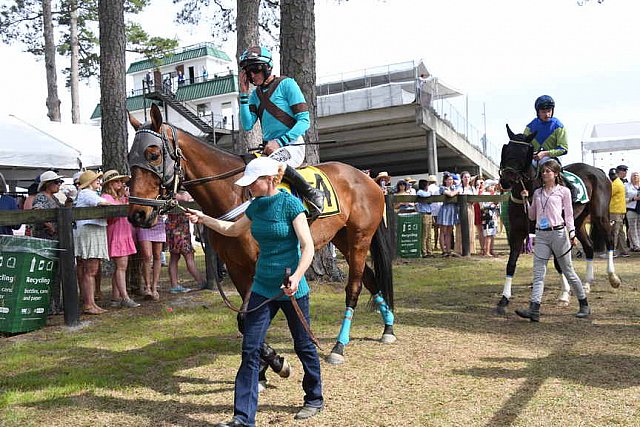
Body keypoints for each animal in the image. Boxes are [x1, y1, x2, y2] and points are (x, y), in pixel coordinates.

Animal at [125, 104, 396, 368]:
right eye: (130, 158)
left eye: (153, 154)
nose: (137, 214)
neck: (235, 191)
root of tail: (366, 178)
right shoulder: (236, 265)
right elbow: (246, 318)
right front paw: (268, 362)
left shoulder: (259, 265)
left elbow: (249, 316)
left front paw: (273, 361)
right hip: (342, 238)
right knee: (370, 279)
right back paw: (388, 328)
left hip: (360, 238)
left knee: (354, 287)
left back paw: (339, 346)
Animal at [496, 123, 620, 314]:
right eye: (506, 149)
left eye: (525, 152)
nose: (506, 180)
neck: (529, 194)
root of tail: (597, 170)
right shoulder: (517, 232)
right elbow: (511, 263)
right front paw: (504, 299)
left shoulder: (556, 229)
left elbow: (558, 262)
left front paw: (564, 294)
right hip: (577, 222)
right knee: (589, 247)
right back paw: (587, 284)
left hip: (600, 216)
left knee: (609, 241)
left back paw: (613, 277)